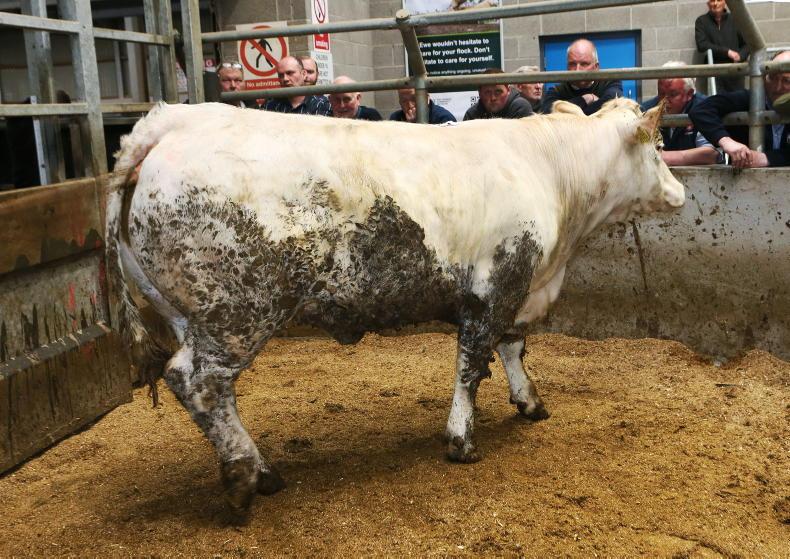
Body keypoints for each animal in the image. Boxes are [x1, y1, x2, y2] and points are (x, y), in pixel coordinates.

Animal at [106, 98, 683, 520]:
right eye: (658, 146)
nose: (680, 194)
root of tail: (171, 121)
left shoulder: (518, 288)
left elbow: (514, 348)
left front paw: (529, 401)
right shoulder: (495, 285)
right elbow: (473, 364)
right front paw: (461, 438)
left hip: (188, 314)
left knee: (206, 390)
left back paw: (262, 469)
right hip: (238, 312)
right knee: (198, 382)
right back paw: (246, 476)